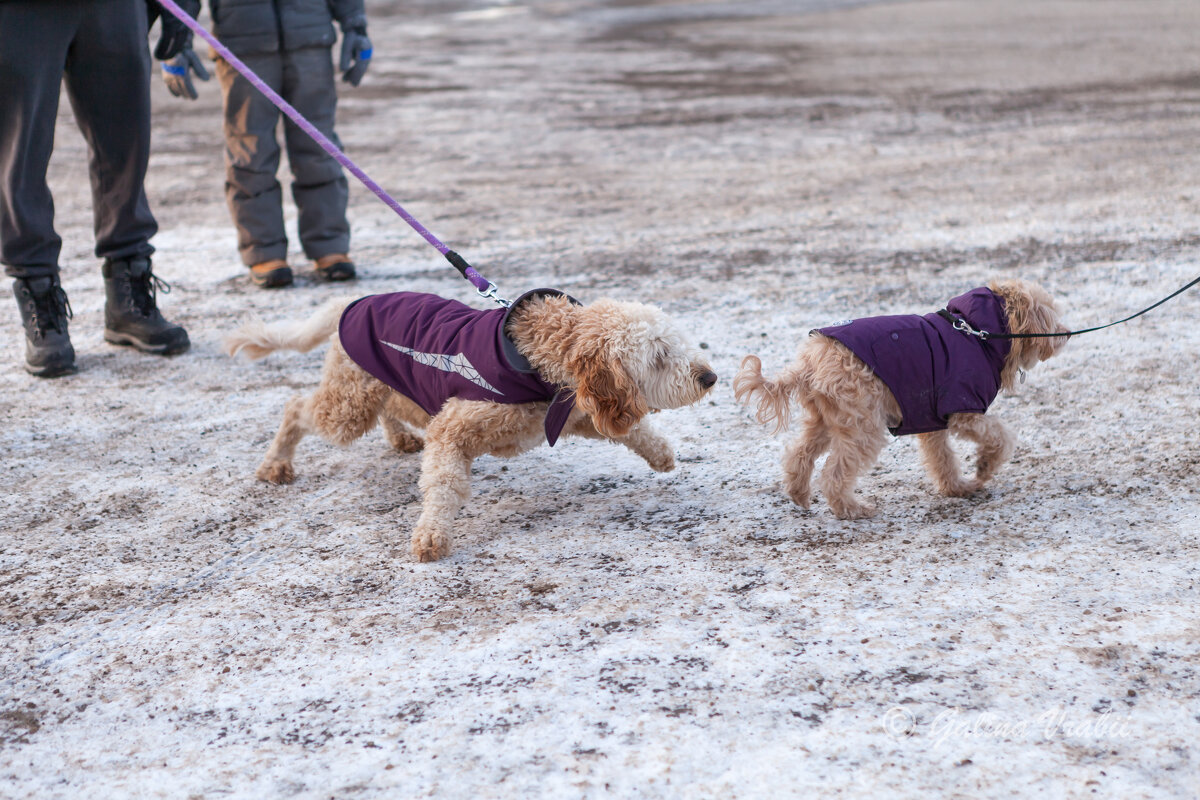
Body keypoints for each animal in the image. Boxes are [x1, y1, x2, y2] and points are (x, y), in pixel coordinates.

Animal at [226, 291, 710, 561]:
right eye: (659, 356)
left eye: (683, 343)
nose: (710, 376)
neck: (541, 357)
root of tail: (347, 302)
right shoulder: (453, 427)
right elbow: (444, 484)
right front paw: (431, 536)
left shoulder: (569, 412)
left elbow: (628, 429)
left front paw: (661, 454)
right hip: (349, 405)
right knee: (296, 407)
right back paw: (276, 463)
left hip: (386, 385)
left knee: (388, 406)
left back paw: (399, 436)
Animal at [729, 281, 1070, 520]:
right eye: (1048, 312)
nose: (1066, 333)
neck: (976, 331)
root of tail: (809, 361)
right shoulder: (964, 409)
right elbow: (1000, 435)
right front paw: (985, 467)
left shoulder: (933, 419)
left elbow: (942, 458)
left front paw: (956, 488)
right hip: (862, 426)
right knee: (834, 474)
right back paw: (852, 509)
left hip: (827, 420)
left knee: (799, 454)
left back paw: (800, 494)